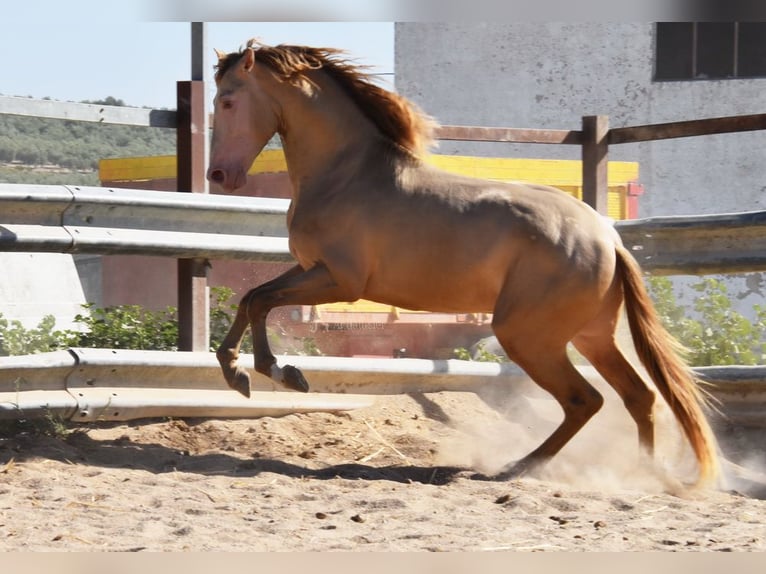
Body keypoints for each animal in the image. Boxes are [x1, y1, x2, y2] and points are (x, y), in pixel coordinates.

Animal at [206, 40, 720, 488]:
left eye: (227, 101)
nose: (219, 175)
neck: (347, 174)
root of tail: (608, 238)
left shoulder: (340, 282)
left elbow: (261, 301)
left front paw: (275, 373)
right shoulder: (311, 269)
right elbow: (252, 298)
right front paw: (239, 373)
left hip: (527, 335)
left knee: (584, 400)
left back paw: (517, 468)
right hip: (590, 335)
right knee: (638, 395)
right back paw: (644, 475)